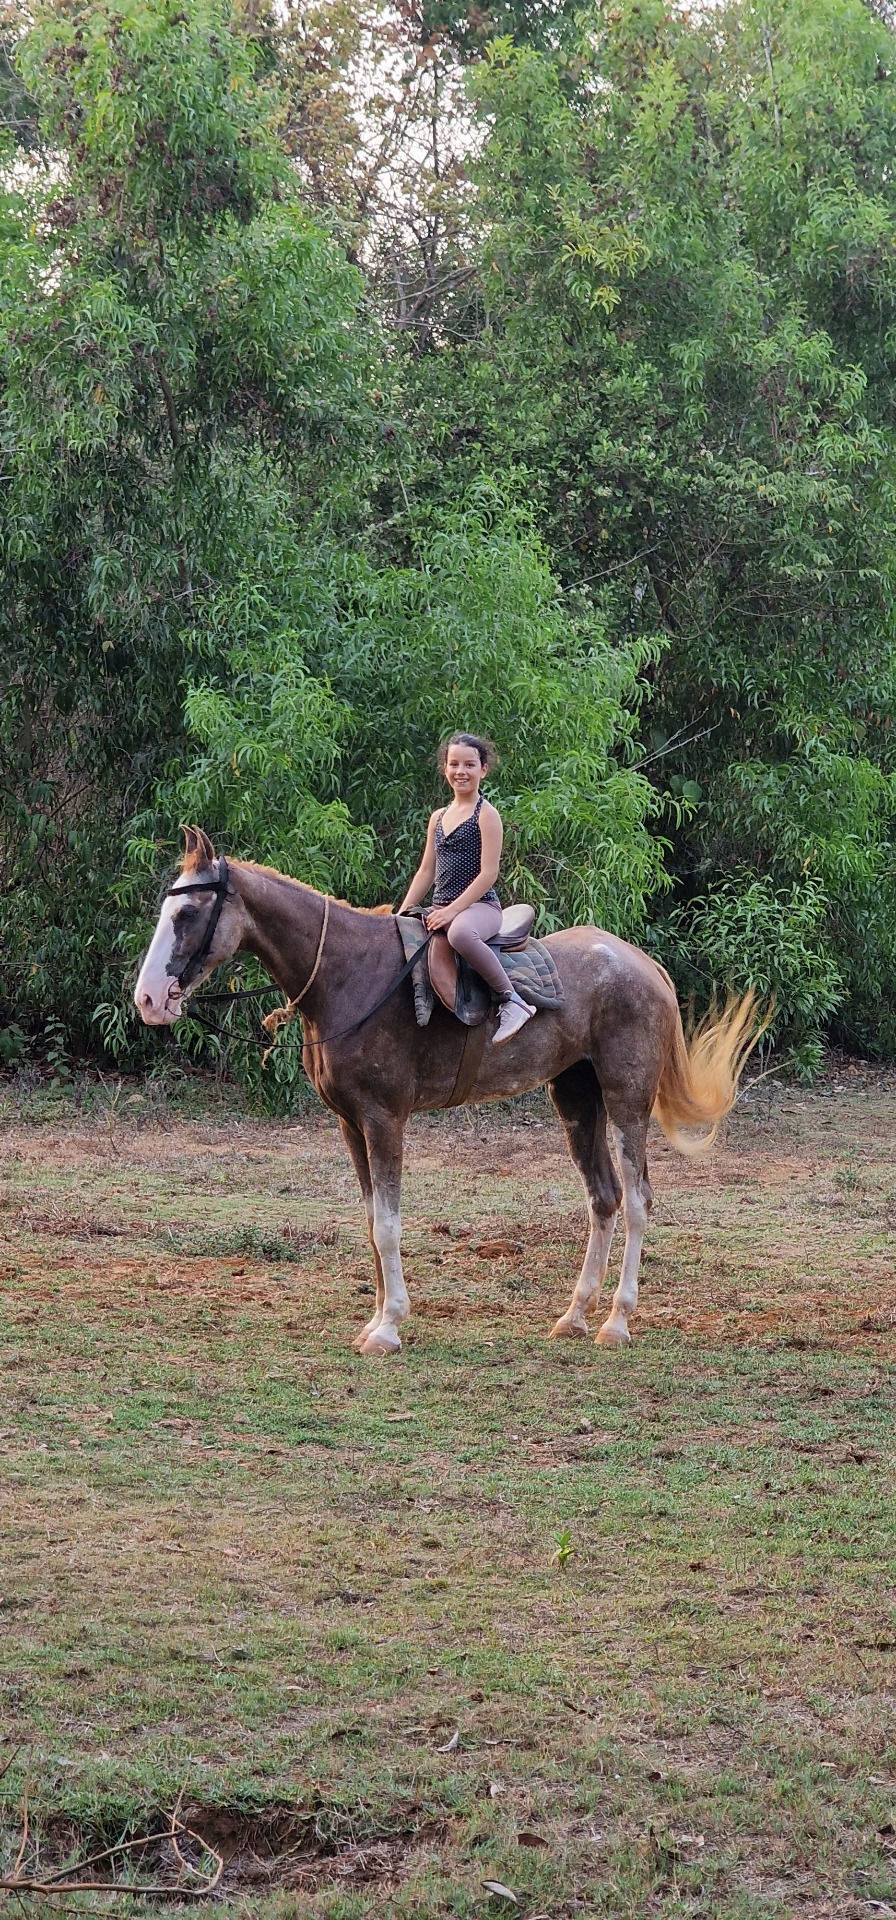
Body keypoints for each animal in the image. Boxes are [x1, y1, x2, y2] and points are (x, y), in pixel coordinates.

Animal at [134, 827, 759, 1356]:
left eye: (188, 911)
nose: (147, 999)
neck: (348, 974)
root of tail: (644, 965)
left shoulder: (384, 1119)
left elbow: (388, 1224)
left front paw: (389, 1327)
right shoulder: (350, 1123)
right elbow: (372, 1221)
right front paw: (376, 1318)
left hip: (627, 1101)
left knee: (636, 1200)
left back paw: (617, 1321)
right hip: (577, 1099)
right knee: (602, 1198)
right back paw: (575, 1315)